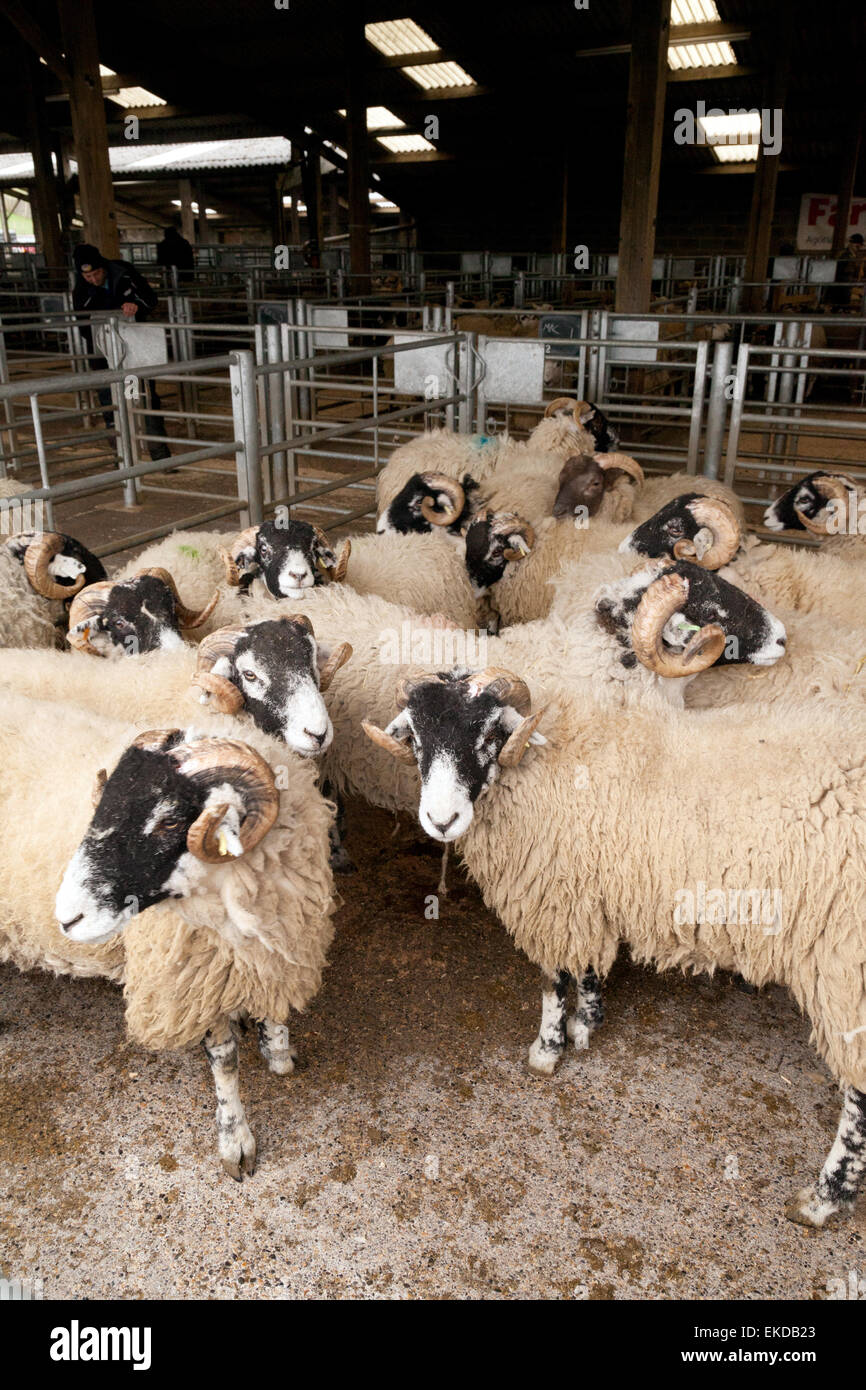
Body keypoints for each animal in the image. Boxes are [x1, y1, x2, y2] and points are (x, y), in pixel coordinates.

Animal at [0, 692, 335, 1173]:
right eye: (102, 805)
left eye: (170, 822)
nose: (67, 916)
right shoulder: (192, 983)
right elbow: (224, 1061)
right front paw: (235, 1140)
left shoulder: (274, 949)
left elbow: (275, 1007)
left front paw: (277, 1050)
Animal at [358, 664, 866, 1228]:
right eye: (416, 737)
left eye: (489, 734)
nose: (441, 821)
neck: (543, 759)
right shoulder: (585, 895)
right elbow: (586, 968)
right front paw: (587, 1022)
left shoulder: (553, 897)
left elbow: (553, 980)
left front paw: (548, 1048)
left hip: (846, 965)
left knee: (859, 1098)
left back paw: (824, 1197)